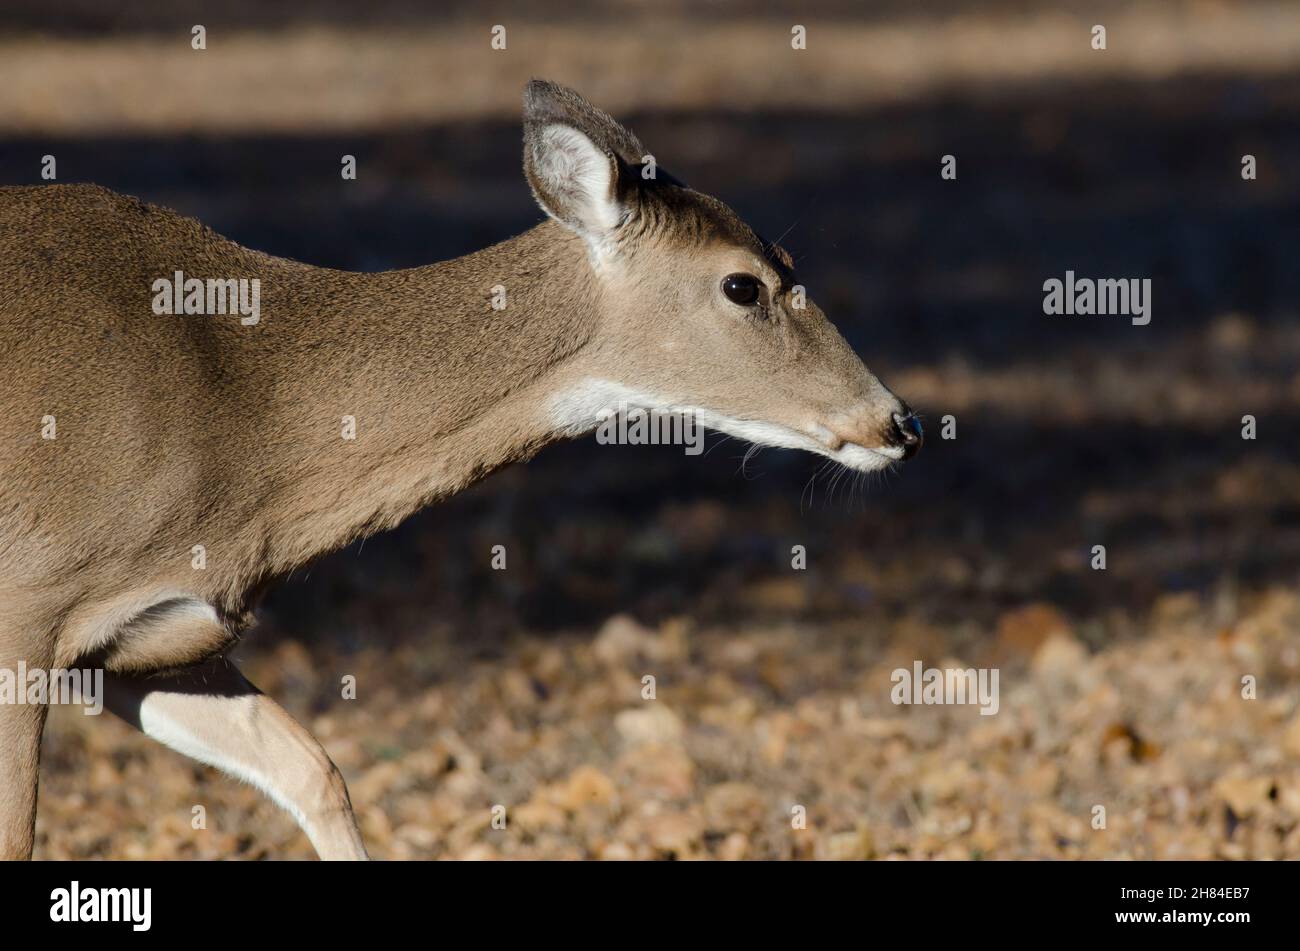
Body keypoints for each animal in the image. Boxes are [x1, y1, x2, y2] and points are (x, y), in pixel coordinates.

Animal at [0, 79, 922, 860]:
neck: (240, 417)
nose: (900, 422)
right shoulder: (29, 602)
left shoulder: (144, 639)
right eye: (743, 285)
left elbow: (315, 769)